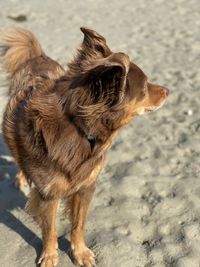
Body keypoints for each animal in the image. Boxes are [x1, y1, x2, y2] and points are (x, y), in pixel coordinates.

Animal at [0, 28, 169, 266]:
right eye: (145, 86)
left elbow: (78, 225)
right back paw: (21, 177)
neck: (80, 128)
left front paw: (80, 252)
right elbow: (50, 230)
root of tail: (38, 57)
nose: (168, 90)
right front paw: (50, 255)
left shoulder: (86, 186)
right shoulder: (48, 194)